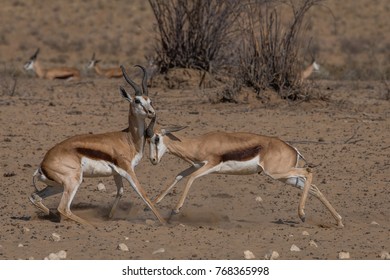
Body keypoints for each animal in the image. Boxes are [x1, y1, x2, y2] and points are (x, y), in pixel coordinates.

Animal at [28, 65, 166, 225]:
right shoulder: (128, 170)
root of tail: (42, 164)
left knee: (35, 197)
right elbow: (144, 194)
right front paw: (165, 222)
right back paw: (91, 225)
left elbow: (120, 192)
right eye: (137, 100)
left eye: (150, 100)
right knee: (63, 208)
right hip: (73, 181)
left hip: (57, 186)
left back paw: (54, 217)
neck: (129, 139)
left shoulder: (116, 173)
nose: (151, 112)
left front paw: (109, 217)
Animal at [147, 122, 344, 228]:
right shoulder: (195, 165)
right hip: (286, 178)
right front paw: (153, 204)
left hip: (277, 173)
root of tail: (292, 148)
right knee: (314, 188)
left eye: (156, 138)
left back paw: (302, 215)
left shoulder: (210, 165)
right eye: (147, 139)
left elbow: (190, 179)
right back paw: (339, 221)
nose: (153, 160)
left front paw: (175, 210)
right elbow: (178, 176)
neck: (198, 144)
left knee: (309, 172)